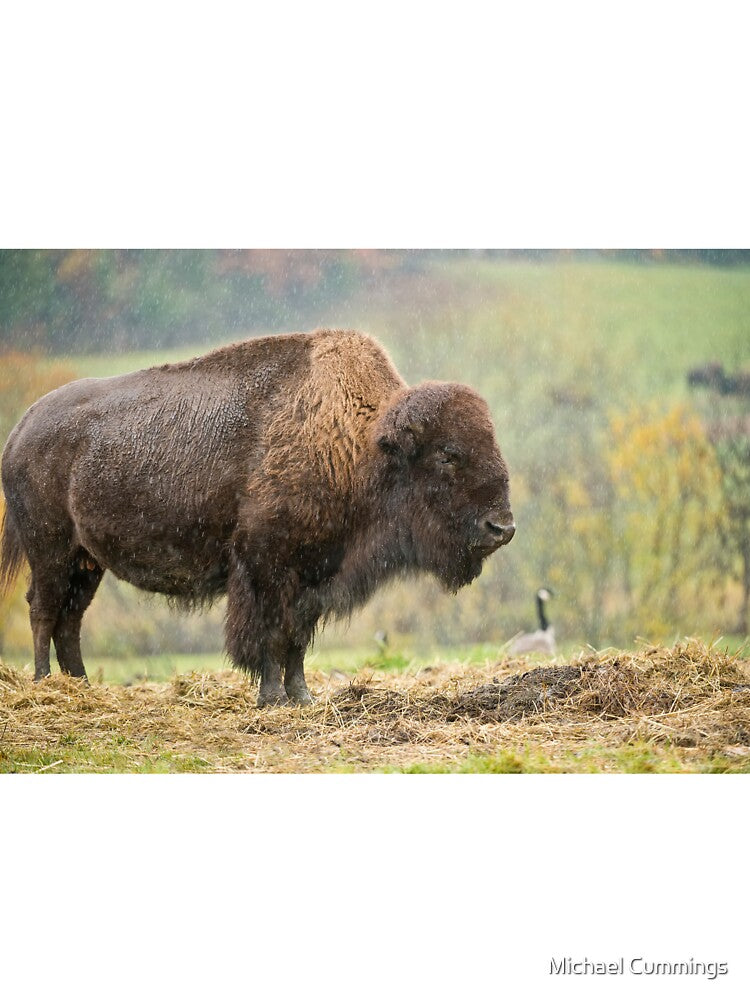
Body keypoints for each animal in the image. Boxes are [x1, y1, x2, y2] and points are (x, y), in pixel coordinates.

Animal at [1, 330, 515, 706]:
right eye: (447, 455)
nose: (502, 528)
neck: (361, 444)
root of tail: (22, 428)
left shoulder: (314, 574)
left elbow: (297, 638)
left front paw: (302, 697)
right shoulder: (266, 567)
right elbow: (269, 634)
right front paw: (272, 698)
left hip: (87, 562)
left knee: (69, 619)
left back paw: (81, 688)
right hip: (50, 550)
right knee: (43, 610)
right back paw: (45, 686)